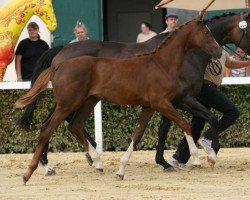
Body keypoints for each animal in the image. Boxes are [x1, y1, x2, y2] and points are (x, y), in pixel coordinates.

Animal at [18, 11, 250, 173]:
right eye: (248, 29)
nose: (245, 54)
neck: (185, 56)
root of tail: (61, 52)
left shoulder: (175, 100)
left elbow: (199, 121)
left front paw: (173, 160)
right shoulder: (178, 99)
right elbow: (178, 126)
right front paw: (179, 159)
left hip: (79, 99)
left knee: (64, 123)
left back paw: (78, 158)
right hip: (73, 99)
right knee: (56, 123)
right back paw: (54, 164)